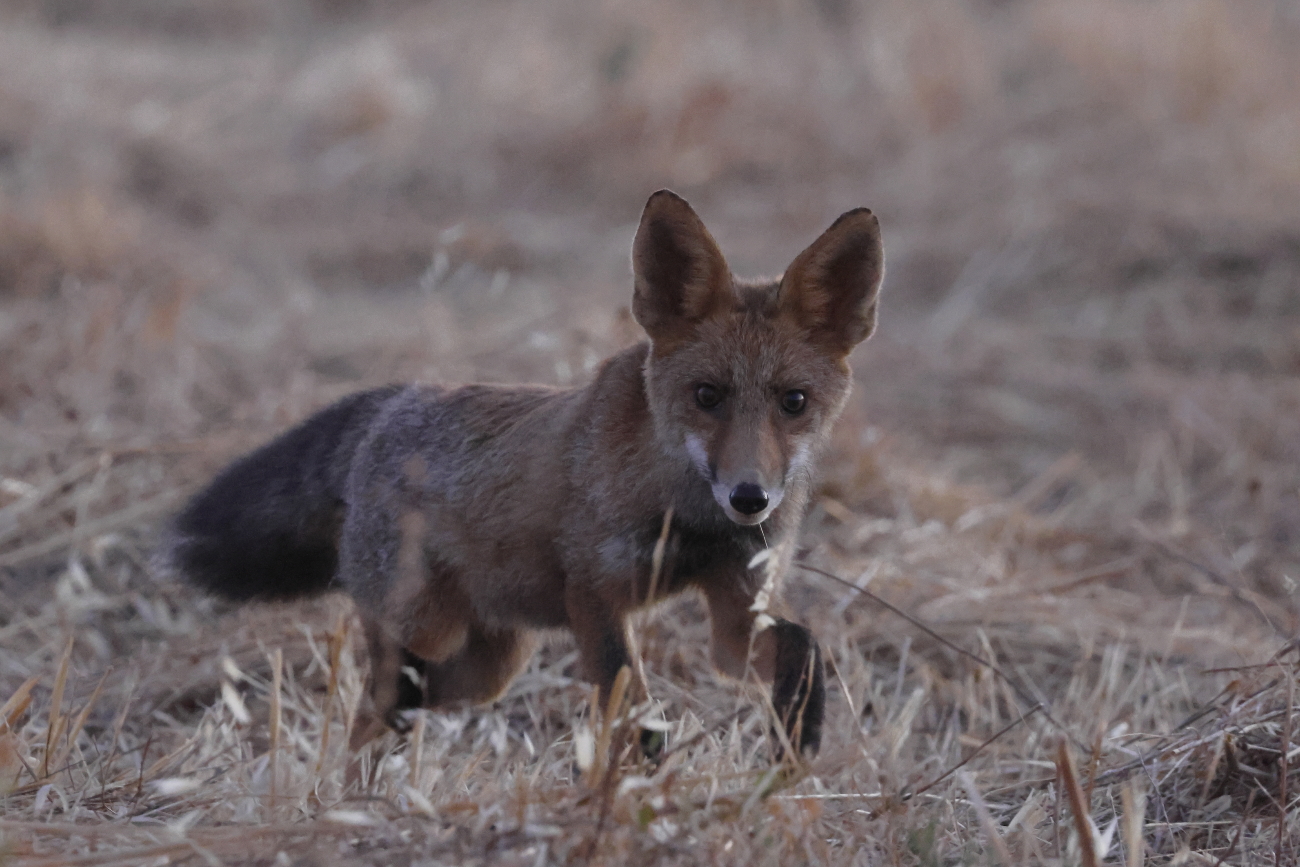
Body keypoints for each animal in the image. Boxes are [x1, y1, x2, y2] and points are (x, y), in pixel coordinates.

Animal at [164, 190, 884, 758]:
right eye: (707, 396)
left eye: (794, 402)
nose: (750, 497)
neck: (689, 518)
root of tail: (397, 402)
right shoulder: (593, 594)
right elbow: (628, 700)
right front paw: (636, 782)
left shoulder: (736, 607)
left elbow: (798, 645)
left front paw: (800, 735)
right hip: (426, 632)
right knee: (372, 709)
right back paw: (343, 803)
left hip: (489, 666)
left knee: (400, 708)